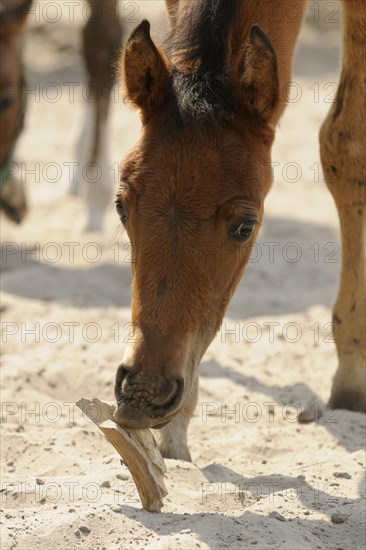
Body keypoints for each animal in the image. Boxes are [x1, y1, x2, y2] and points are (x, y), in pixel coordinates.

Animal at [113, 0, 364, 462]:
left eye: (245, 226)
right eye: (121, 207)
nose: (142, 394)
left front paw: (353, 376)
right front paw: (176, 430)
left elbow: (347, 144)